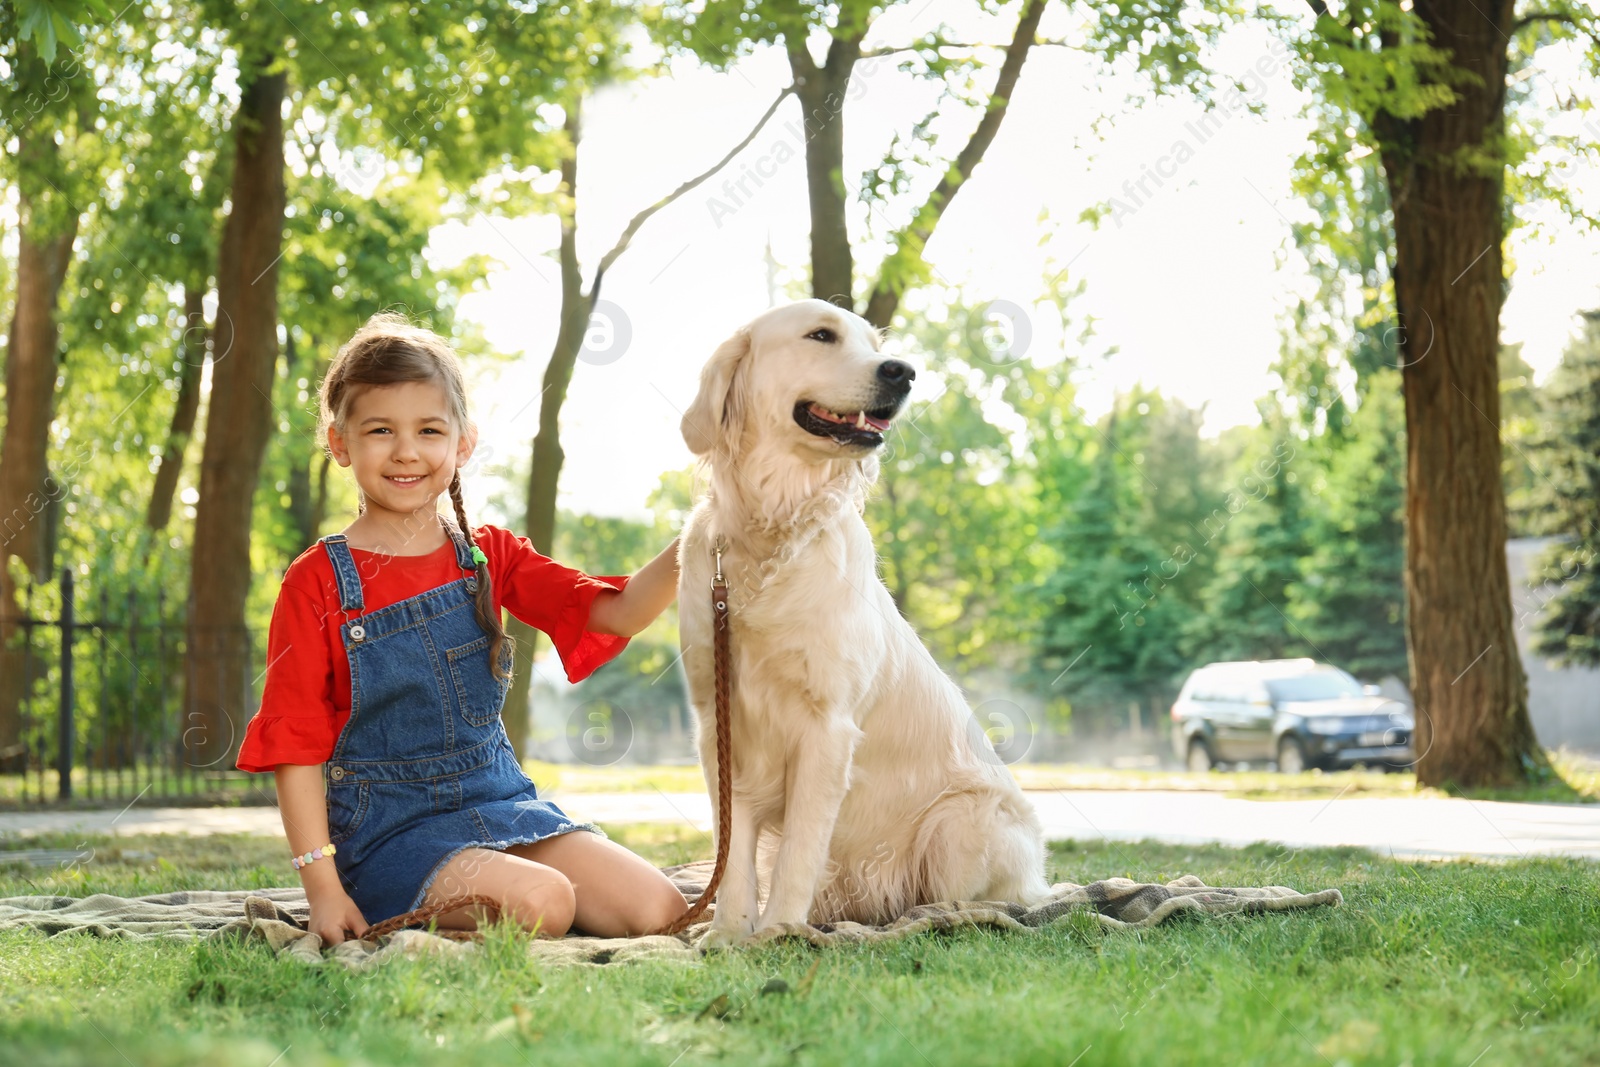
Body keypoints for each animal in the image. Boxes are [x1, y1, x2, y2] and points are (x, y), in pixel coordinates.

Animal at [672, 299, 1049, 953]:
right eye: (820, 335)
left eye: (876, 344)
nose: (904, 372)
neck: (771, 530)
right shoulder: (717, 723)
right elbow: (734, 853)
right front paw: (726, 936)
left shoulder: (827, 725)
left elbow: (798, 849)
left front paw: (779, 932)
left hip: (961, 823)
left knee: (987, 902)